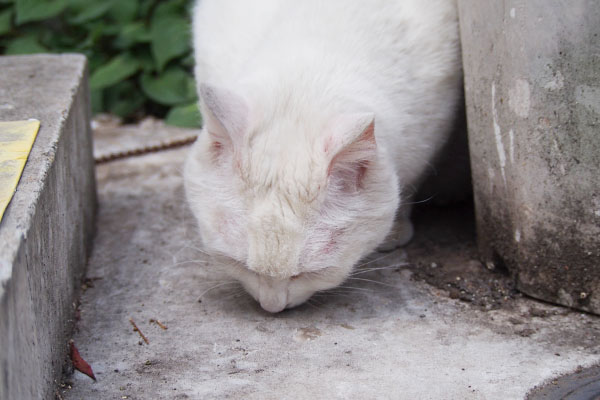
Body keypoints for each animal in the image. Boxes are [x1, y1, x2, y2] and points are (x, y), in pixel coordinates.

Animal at [185, 0, 462, 312]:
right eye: (240, 265)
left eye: (307, 274)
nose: (272, 308)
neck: (306, 77)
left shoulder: (431, 135)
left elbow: (408, 188)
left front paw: (396, 230)